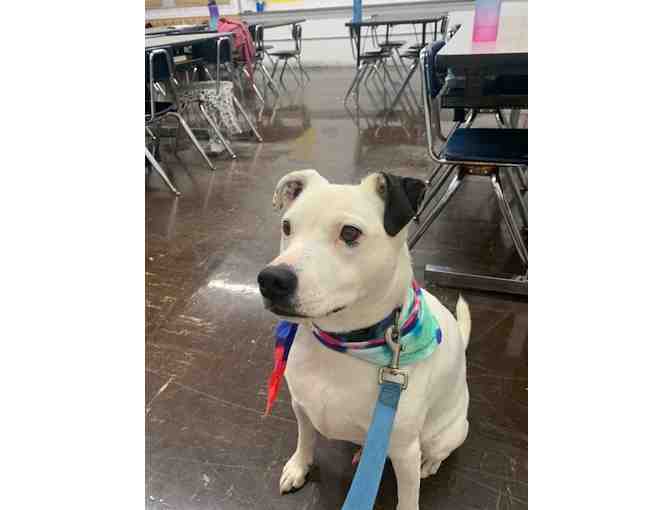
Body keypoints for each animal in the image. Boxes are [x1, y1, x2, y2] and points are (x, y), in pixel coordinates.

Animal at [258, 169, 472, 508]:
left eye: (349, 232)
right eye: (287, 227)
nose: (270, 280)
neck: (343, 343)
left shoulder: (405, 451)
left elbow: (408, 498)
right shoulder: (301, 406)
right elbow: (305, 439)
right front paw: (299, 466)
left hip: (445, 434)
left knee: (439, 451)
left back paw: (429, 463)